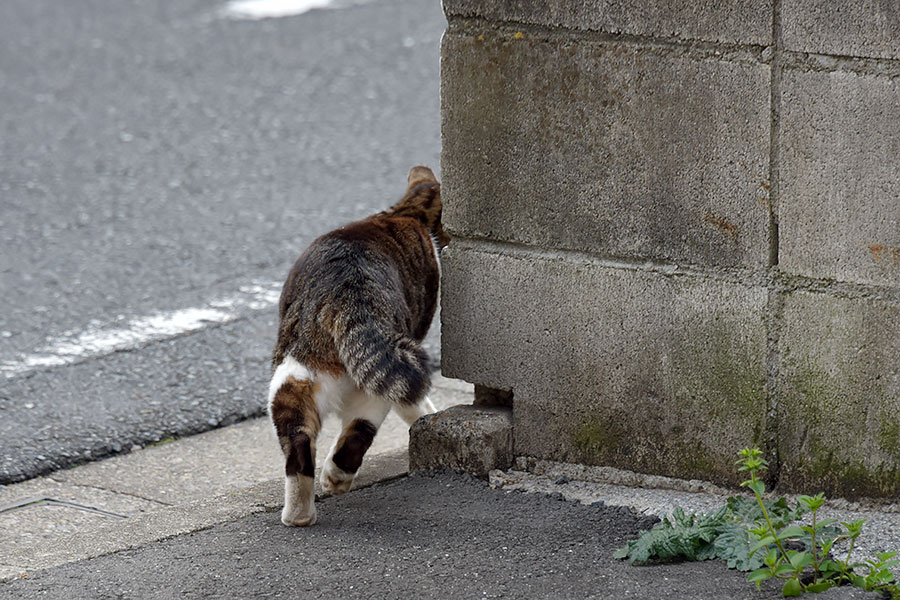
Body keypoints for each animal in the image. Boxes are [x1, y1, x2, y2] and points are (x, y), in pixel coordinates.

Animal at [268, 164, 450, 524]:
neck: (406, 212)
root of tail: (351, 291)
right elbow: (416, 403)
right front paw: (428, 417)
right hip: (367, 375)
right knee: (359, 426)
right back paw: (330, 482)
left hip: (298, 376)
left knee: (303, 438)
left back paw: (303, 508)